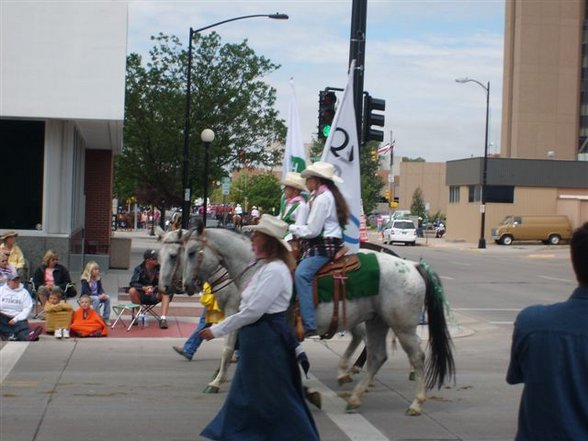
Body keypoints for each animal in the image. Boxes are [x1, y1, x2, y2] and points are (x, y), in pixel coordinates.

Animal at [181, 225, 458, 414]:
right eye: (181, 252)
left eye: (192, 252)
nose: (186, 286)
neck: (261, 267)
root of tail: (412, 266)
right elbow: (235, 350)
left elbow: (234, 349)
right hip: (377, 321)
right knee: (377, 356)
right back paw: (354, 396)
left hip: (402, 326)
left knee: (417, 358)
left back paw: (416, 403)